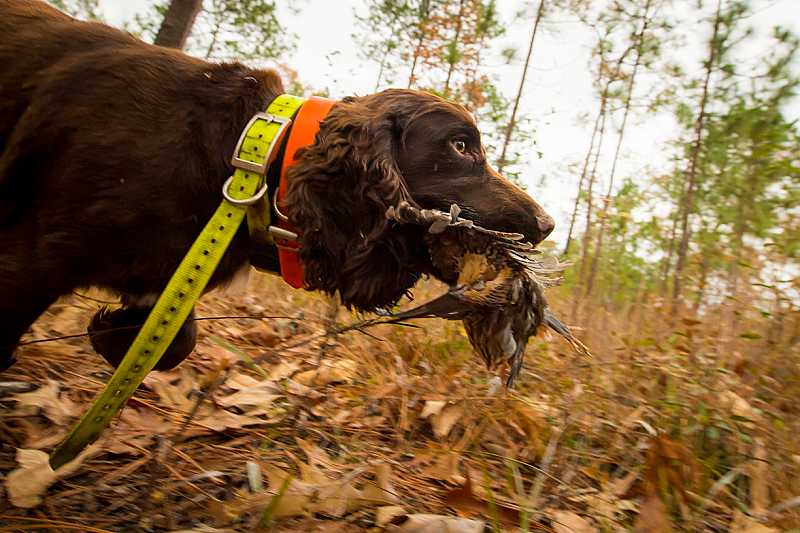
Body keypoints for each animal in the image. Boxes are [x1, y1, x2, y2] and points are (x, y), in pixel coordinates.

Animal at [0, 0, 552, 372]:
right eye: (460, 146)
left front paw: (110, 332)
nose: (547, 224)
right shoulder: (32, 261)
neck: (246, 158)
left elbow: (175, 341)